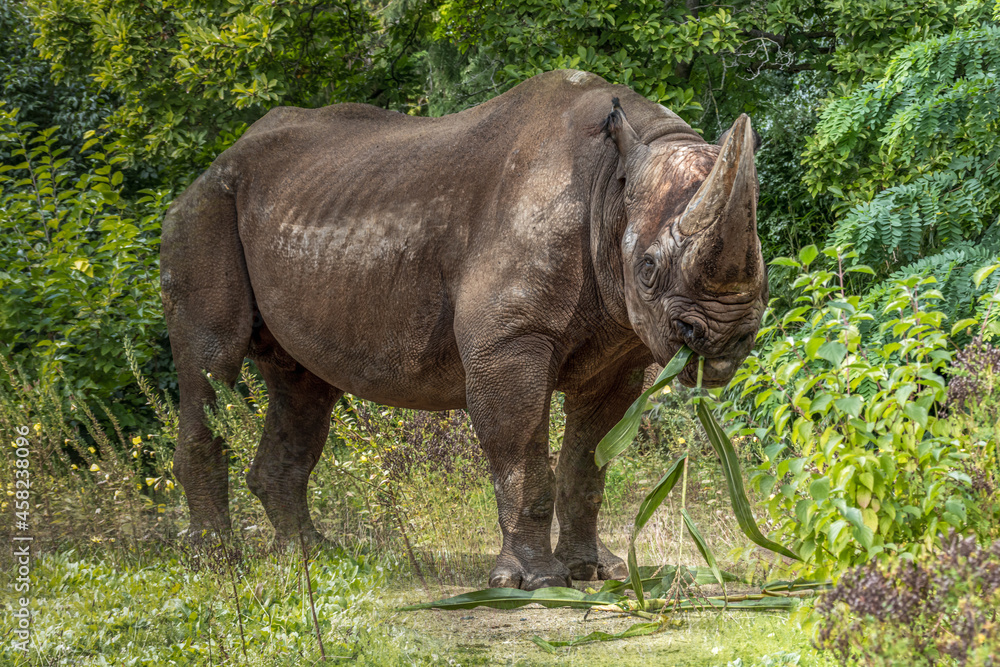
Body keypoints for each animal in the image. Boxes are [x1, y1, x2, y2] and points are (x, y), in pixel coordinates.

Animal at [160, 69, 766, 590]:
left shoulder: (619, 352)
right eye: (648, 269)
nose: (726, 339)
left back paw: (316, 556)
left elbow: (588, 463)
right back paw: (217, 562)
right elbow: (521, 456)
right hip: (204, 211)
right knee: (210, 367)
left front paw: (595, 570)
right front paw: (536, 581)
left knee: (302, 386)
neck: (609, 191)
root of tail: (211, 165)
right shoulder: (508, 342)